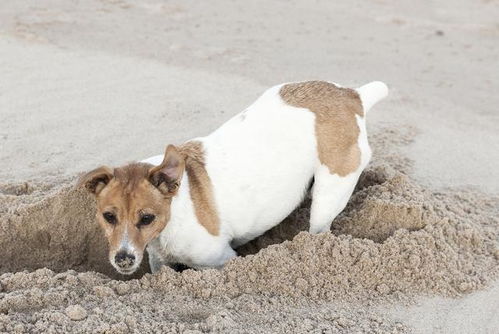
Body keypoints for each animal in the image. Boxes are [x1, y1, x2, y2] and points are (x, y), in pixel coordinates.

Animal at [79, 80, 390, 274]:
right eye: (108, 217)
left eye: (146, 218)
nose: (123, 258)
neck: (173, 212)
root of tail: (353, 96)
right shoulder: (159, 261)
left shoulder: (221, 259)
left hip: (330, 194)